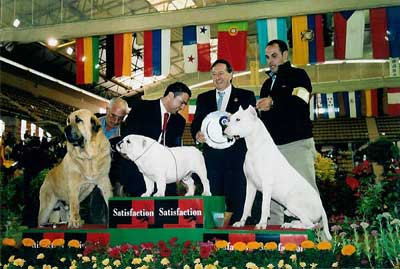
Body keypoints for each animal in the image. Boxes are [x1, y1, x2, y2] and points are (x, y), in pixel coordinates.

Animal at [225, 105, 332, 240]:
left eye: (238, 119)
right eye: (230, 119)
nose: (224, 129)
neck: (255, 147)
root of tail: (322, 207)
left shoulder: (266, 185)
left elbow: (264, 206)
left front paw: (262, 224)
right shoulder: (250, 185)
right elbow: (246, 206)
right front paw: (241, 222)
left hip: (292, 203)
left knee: (312, 225)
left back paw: (295, 226)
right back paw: (290, 224)